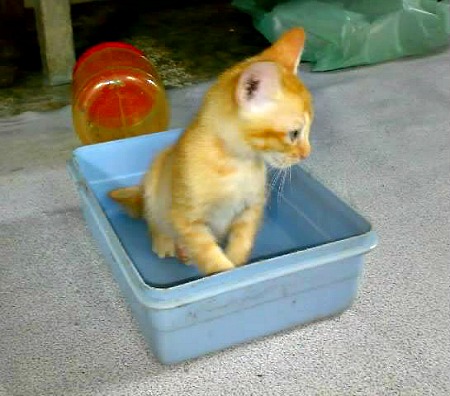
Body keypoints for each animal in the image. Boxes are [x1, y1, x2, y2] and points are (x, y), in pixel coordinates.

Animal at [109, 27, 312, 276]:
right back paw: (164, 242)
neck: (235, 164)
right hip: (155, 182)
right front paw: (225, 273)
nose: (306, 153)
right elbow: (211, 258)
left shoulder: (251, 208)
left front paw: (238, 265)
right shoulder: (187, 219)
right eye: (294, 133)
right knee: (154, 220)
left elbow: (241, 244)